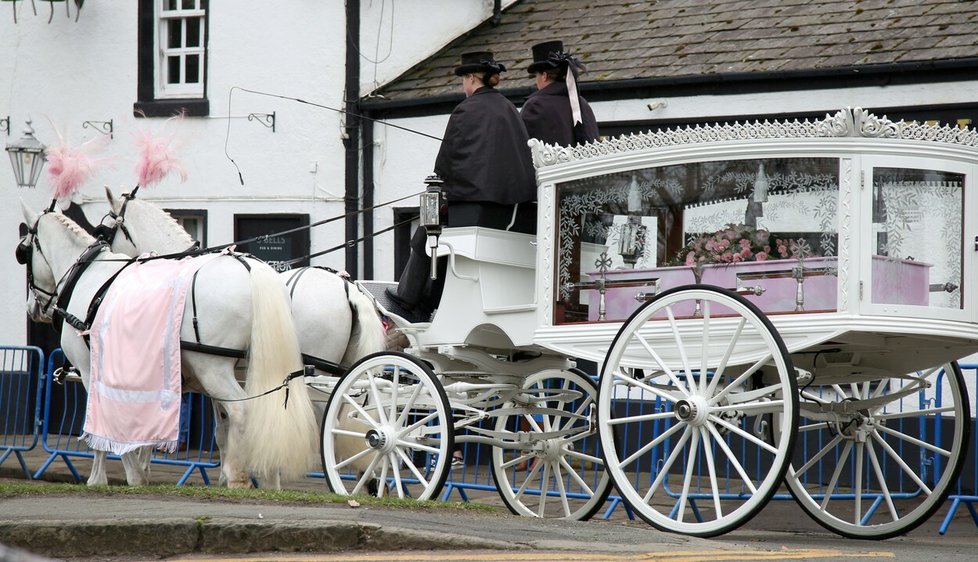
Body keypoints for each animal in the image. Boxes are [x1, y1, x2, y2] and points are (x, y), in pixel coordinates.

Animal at [20, 201, 316, 486]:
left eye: (22, 253)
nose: (32, 308)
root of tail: (251, 270)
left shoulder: (90, 370)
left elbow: (100, 423)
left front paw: (106, 477)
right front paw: (140, 469)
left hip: (214, 369)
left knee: (241, 410)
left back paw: (238, 475)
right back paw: (269, 477)